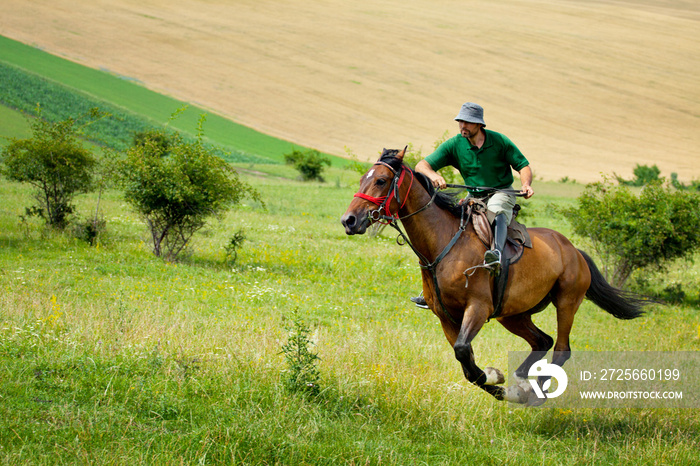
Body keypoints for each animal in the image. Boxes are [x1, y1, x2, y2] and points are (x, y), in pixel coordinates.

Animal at [340, 147, 652, 402]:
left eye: (381, 180)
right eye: (362, 179)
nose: (349, 220)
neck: (444, 243)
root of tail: (574, 250)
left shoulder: (478, 308)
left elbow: (464, 352)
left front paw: (496, 379)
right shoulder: (446, 317)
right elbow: (466, 363)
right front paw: (500, 383)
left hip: (566, 302)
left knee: (561, 348)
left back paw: (535, 394)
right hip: (513, 314)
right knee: (542, 341)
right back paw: (522, 384)